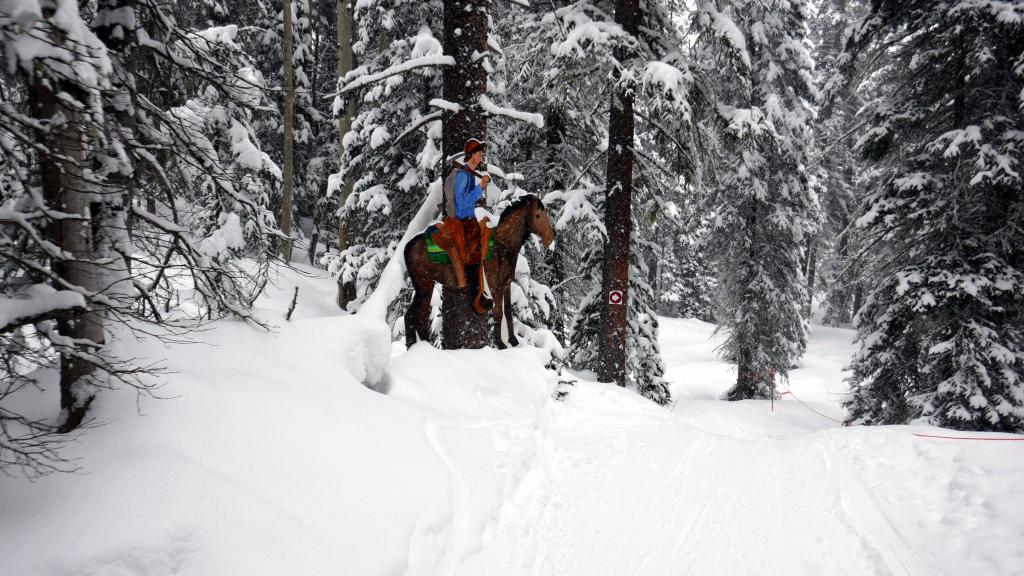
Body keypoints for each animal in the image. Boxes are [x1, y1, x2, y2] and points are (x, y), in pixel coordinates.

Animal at [403, 192, 557, 348]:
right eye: (538, 216)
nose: (551, 237)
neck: (502, 247)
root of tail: (409, 245)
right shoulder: (495, 286)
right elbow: (498, 312)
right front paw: (500, 344)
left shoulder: (506, 284)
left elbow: (508, 312)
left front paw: (513, 341)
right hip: (424, 285)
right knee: (415, 316)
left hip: (425, 285)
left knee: (417, 316)